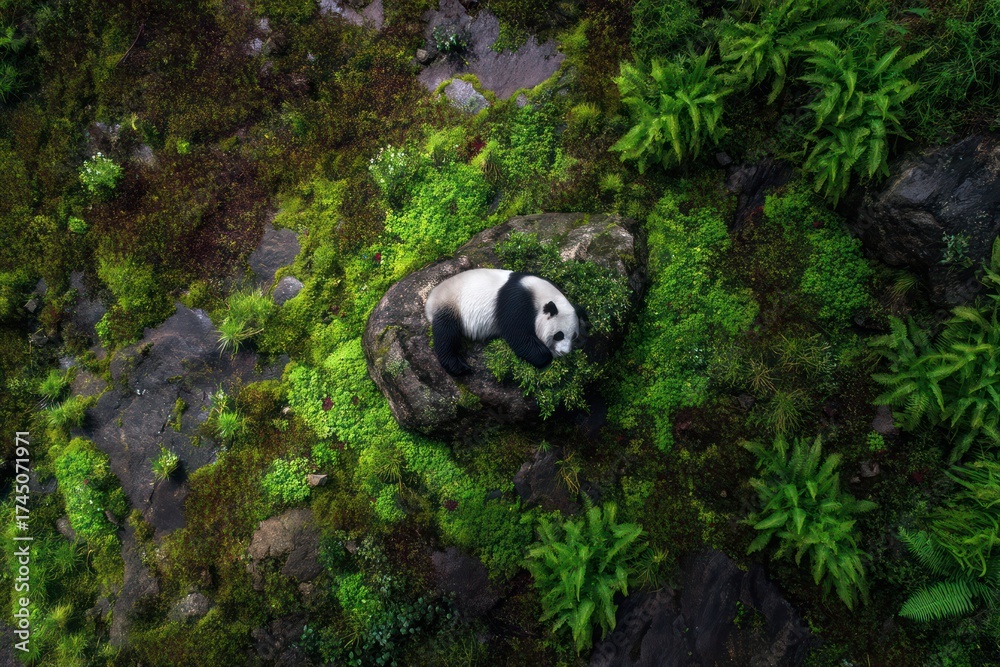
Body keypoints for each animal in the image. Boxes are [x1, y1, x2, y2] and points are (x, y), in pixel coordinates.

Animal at [424, 269, 583, 376]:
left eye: (574, 336)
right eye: (559, 335)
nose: (565, 352)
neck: (540, 295)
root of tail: (430, 299)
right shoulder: (516, 302)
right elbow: (518, 335)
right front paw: (546, 356)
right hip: (450, 304)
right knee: (446, 334)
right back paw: (458, 366)